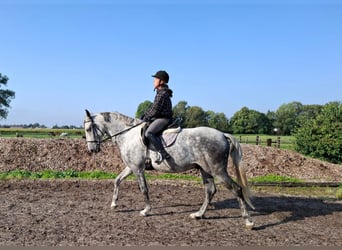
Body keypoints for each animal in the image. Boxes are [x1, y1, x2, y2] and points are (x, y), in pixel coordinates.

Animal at [84, 109, 255, 229]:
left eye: (88, 129)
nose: (92, 150)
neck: (128, 135)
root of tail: (222, 135)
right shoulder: (131, 166)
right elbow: (117, 180)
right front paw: (114, 204)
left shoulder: (137, 168)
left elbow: (144, 189)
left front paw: (146, 210)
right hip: (205, 170)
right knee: (210, 190)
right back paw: (198, 215)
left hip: (217, 170)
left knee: (236, 189)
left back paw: (248, 221)